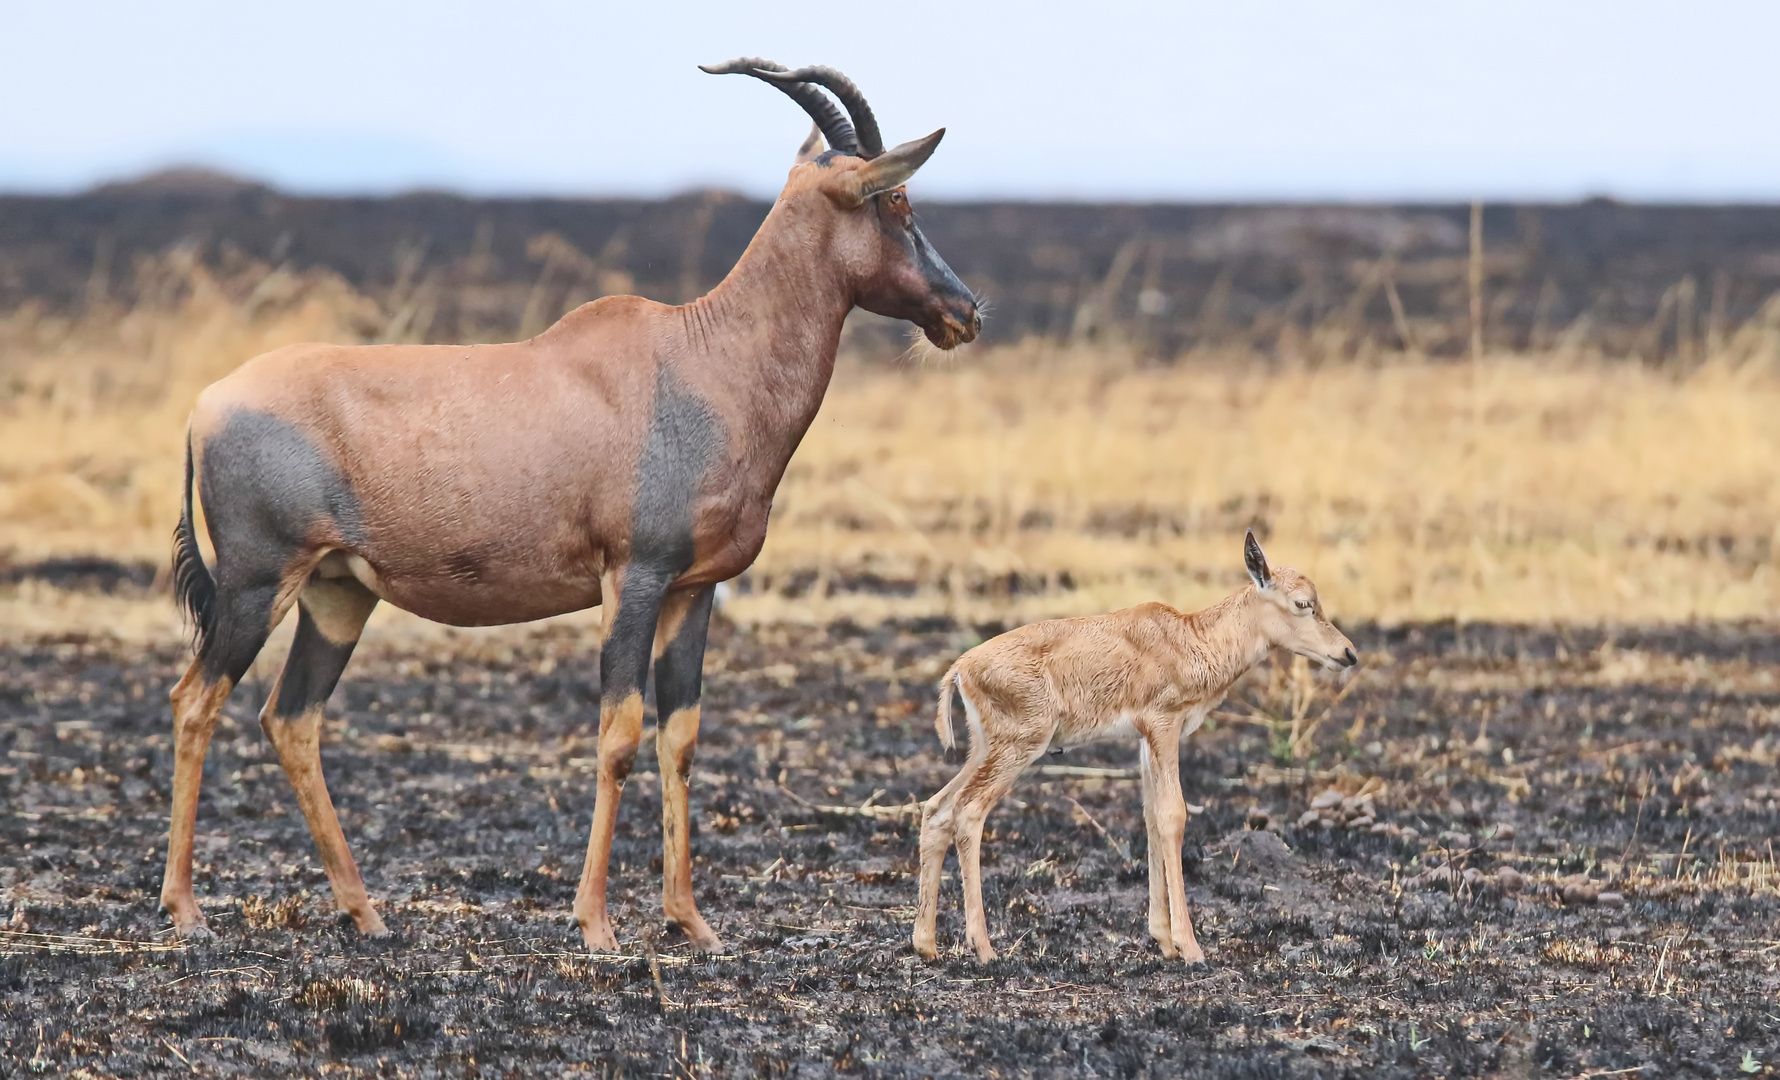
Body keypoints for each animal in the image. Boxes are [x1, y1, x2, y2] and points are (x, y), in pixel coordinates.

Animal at [160, 61, 982, 953]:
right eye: (897, 201)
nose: (965, 312)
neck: (699, 357)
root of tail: (206, 404)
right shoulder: (634, 578)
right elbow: (619, 735)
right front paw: (595, 925)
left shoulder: (695, 591)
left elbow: (680, 739)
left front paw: (692, 922)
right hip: (256, 584)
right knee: (195, 702)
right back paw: (186, 909)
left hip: (337, 594)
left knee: (291, 720)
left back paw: (365, 911)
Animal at [911, 533, 1352, 960]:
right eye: (1303, 603)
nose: (1347, 653)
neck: (1190, 637)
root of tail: (960, 668)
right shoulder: (1164, 726)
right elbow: (1174, 816)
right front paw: (1191, 948)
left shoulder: (1144, 740)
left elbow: (1151, 817)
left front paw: (1164, 941)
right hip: (1018, 748)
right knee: (968, 812)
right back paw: (984, 948)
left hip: (983, 750)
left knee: (937, 809)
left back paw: (926, 944)